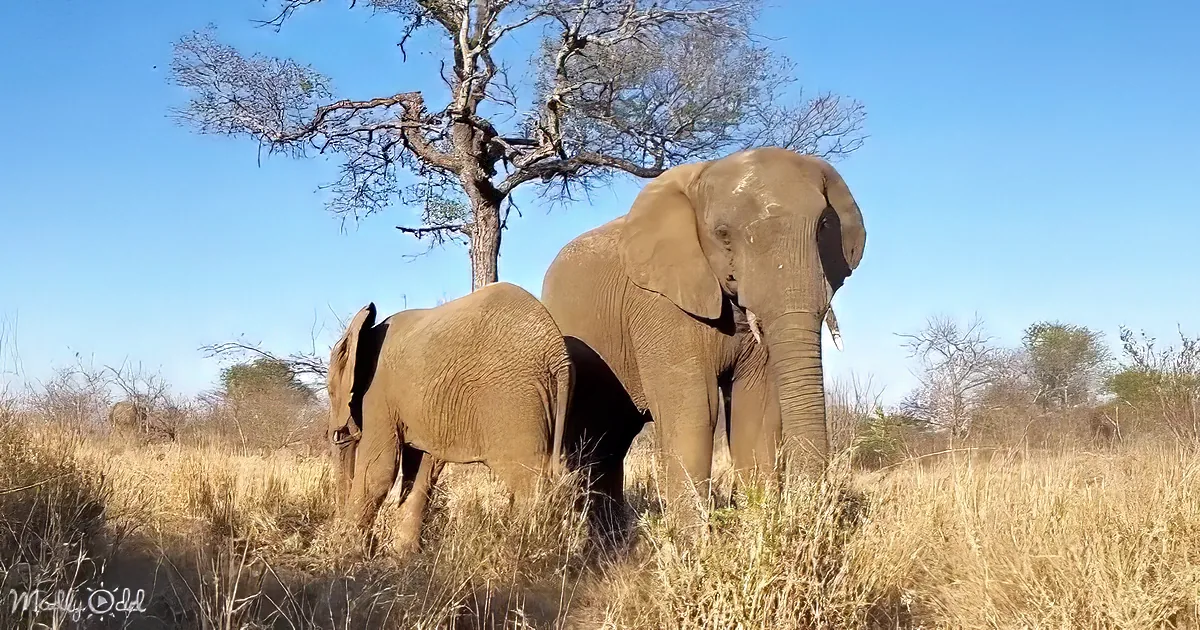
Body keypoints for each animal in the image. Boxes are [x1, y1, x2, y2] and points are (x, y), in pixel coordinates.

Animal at [326, 281, 573, 555]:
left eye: (329, 391)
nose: (339, 433)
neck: (362, 332)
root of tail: (557, 355)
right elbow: (422, 470)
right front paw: (403, 555)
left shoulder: (378, 393)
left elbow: (378, 471)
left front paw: (347, 552)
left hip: (513, 399)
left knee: (527, 480)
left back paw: (523, 551)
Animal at [541, 147, 865, 530]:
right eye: (723, 234)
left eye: (824, 226)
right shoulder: (657, 302)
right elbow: (697, 407)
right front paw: (693, 539)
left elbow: (754, 408)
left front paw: (756, 523)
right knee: (588, 438)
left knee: (611, 440)